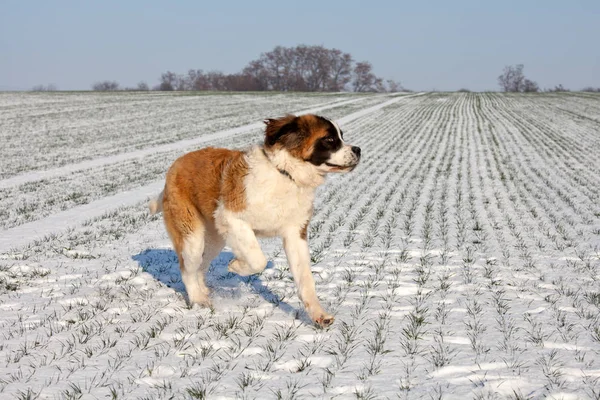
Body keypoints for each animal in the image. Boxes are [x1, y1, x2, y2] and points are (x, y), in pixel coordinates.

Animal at [149, 114, 360, 326]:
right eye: (329, 139)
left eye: (341, 136)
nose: (358, 149)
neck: (285, 174)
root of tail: (175, 166)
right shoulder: (231, 218)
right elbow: (258, 259)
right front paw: (236, 266)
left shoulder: (295, 234)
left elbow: (305, 278)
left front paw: (319, 314)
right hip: (192, 237)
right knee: (187, 269)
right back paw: (198, 299)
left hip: (213, 240)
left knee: (201, 265)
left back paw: (204, 291)